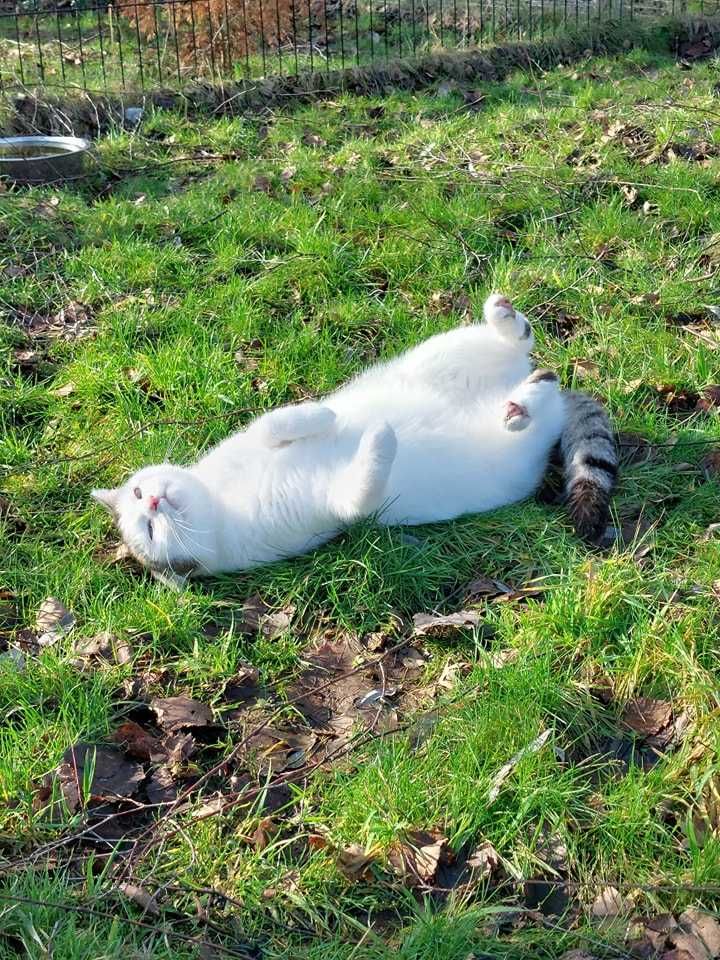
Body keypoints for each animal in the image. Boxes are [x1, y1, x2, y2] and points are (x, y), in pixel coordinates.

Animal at [91, 296, 620, 588]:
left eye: (138, 492)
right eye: (149, 530)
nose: (154, 500)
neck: (221, 501)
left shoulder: (252, 437)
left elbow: (274, 423)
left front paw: (321, 415)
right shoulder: (338, 510)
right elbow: (361, 486)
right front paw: (380, 437)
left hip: (439, 354)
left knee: (519, 346)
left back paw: (507, 324)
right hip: (514, 454)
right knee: (538, 407)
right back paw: (521, 406)